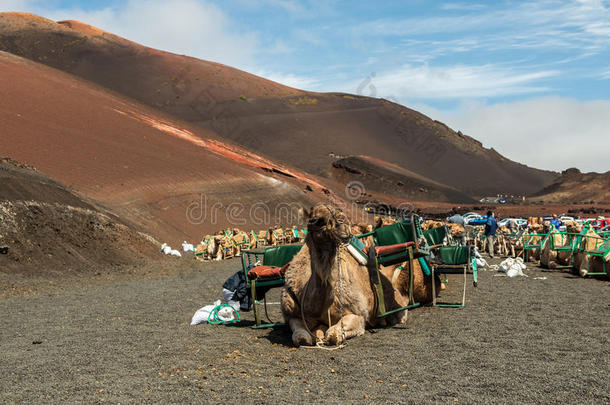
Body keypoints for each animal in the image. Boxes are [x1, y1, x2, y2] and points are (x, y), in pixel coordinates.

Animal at [280, 204, 436, 346]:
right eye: (316, 219)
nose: (343, 224)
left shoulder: (358, 314)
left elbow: (333, 334)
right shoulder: (293, 315)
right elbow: (301, 337)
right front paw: (317, 333)